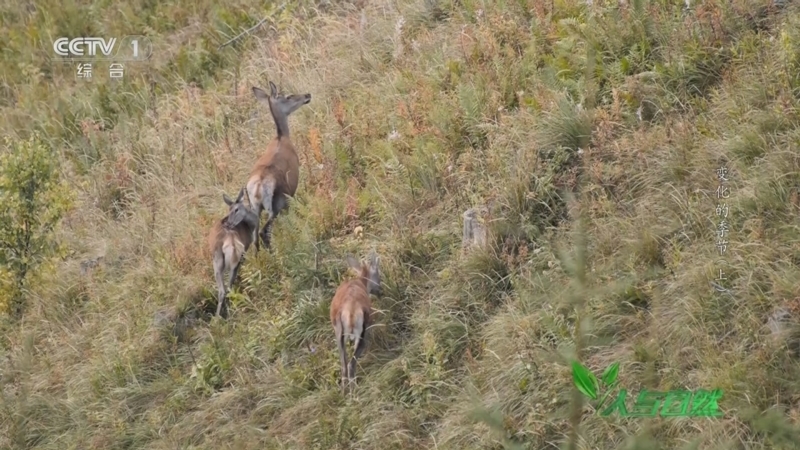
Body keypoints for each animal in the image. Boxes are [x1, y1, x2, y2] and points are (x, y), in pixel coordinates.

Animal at [208, 188, 258, 318]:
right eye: (229, 210)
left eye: (236, 209)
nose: (228, 223)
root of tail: (230, 239)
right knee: (226, 288)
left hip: (219, 260)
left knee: (225, 289)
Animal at [245, 81, 310, 253]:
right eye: (288, 96)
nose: (307, 95)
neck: (282, 136)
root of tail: (258, 187)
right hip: (276, 203)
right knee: (264, 232)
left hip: (255, 208)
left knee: (254, 237)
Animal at [330, 251, 382, 396]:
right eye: (378, 274)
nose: (380, 291)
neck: (360, 282)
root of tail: (350, 311)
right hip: (362, 333)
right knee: (351, 364)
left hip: (339, 336)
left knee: (343, 365)